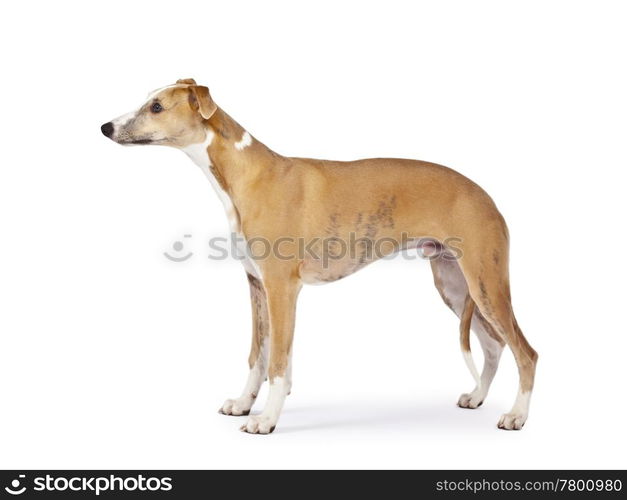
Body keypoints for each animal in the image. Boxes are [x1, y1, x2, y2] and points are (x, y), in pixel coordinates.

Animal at [100, 78, 536, 434]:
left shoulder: (281, 289)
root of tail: (485, 195)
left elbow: (277, 363)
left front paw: (266, 420)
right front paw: (243, 404)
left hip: (487, 284)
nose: (105, 127)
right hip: (456, 286)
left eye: (157, 106)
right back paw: (477, 396)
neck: (246, 172)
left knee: (525, 352)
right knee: (493, 345)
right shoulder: (257, 286)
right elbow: (258, 356)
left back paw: (516, 416)